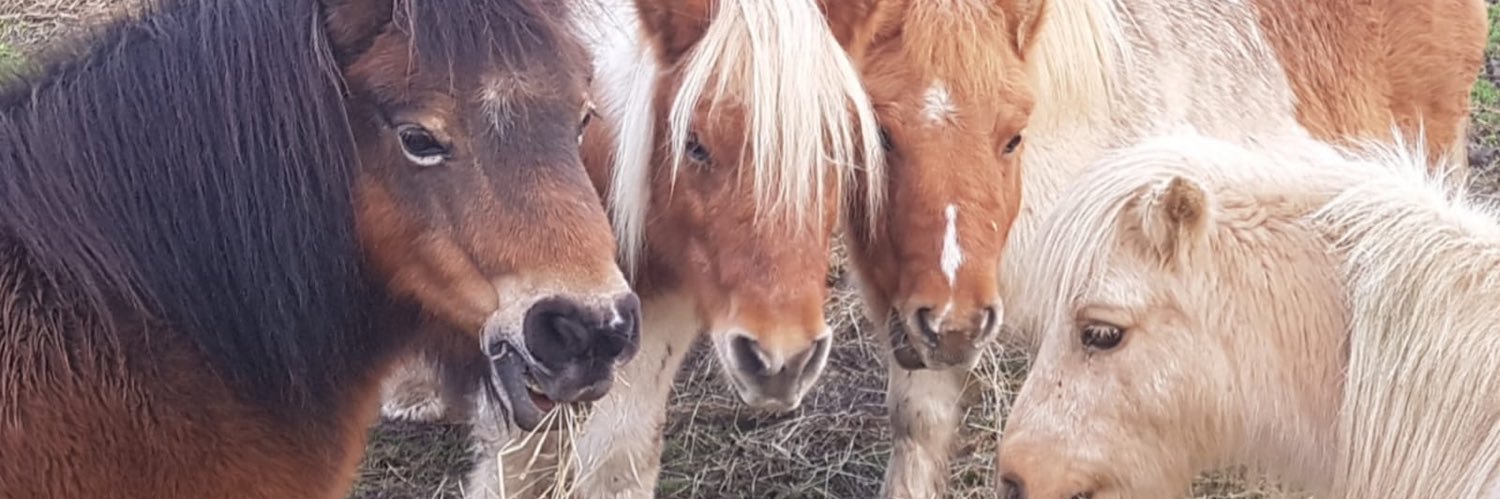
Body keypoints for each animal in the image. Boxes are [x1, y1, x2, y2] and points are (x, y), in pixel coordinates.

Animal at [372, 0, 885, 497]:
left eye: (839, 148)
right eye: (694, 145)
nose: (782, 362)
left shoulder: (662, 299)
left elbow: (617, 456)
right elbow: (522, 468)